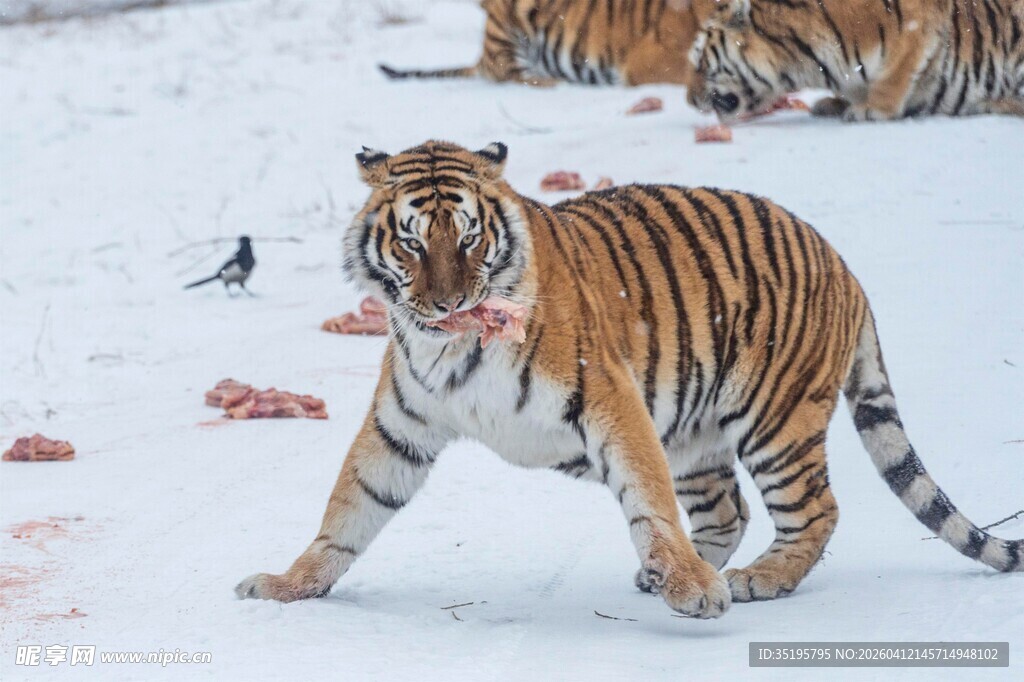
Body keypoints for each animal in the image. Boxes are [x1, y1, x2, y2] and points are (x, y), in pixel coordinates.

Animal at [235, 140, 1022, 618]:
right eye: (410, 242)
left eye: (469, 237)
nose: (450, 303)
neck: (456, 348)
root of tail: (842, 262)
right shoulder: (399, 426)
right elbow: (348, 511)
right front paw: (287, 585)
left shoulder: (609, 400)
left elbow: (647, 501)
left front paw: (697, 594)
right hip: (698, 436)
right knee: (728, 511)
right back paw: (676, 574)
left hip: (776, 421)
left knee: (815, 510)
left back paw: (753, 579)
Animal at [686, 0, 1024, 121]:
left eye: (700, 63)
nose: (688, 100)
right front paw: (836, 104)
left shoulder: (919, 20)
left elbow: (897, 70)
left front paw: (871, 109)